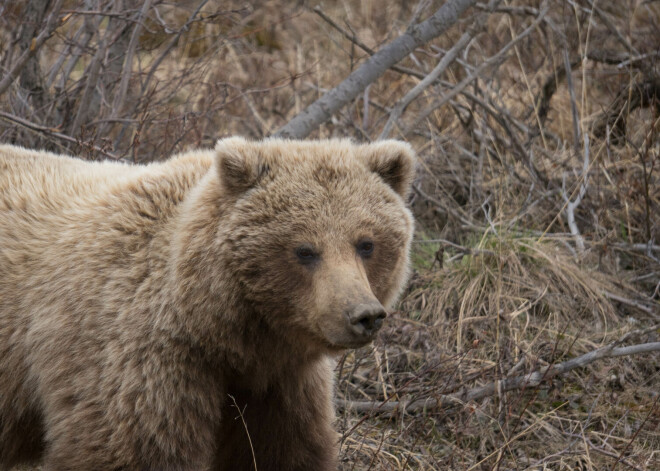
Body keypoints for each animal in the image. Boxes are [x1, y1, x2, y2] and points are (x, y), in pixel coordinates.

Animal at [0, 137, 412, 471]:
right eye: (305, 250)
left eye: (366, 243)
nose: (364, 315)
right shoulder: (138, 362)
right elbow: (129, 451)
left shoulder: (280, 386)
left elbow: (280, 452)